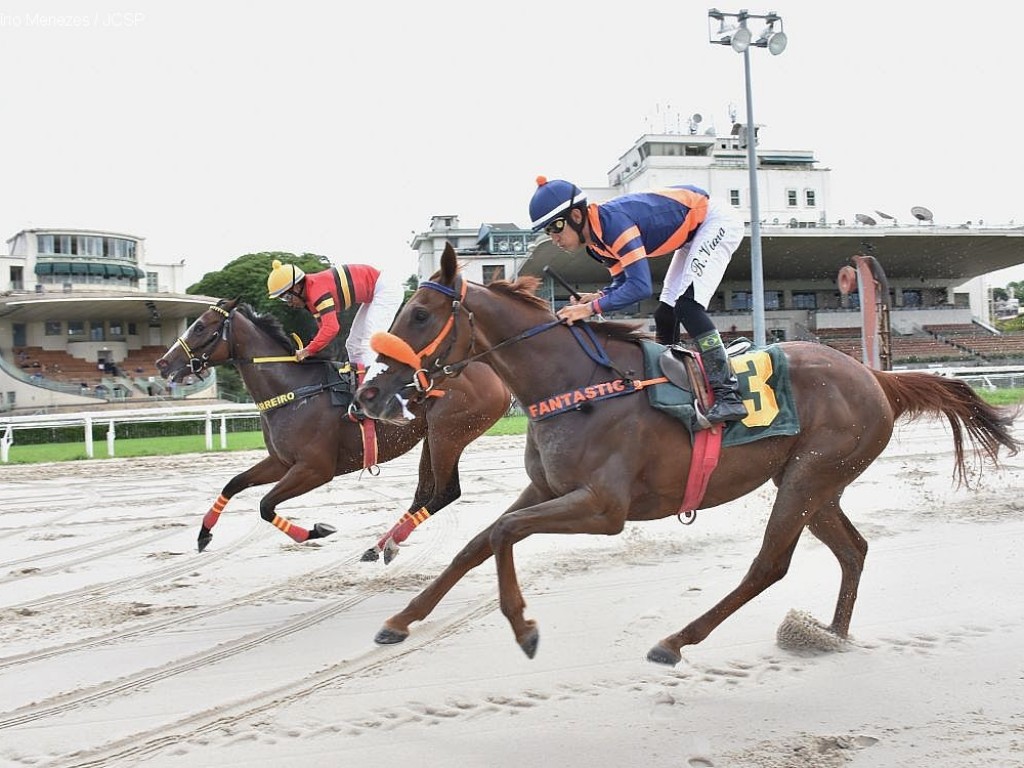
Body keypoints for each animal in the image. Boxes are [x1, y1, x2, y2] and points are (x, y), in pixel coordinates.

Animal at [152, 299, 512, 561]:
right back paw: (381, 546)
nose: (163, 363)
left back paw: (387, 543)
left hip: (447, 434)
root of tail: (489, 369)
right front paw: (203, 534)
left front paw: (316, 530)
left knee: (446, 492)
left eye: (200, 326)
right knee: (425, 493)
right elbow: (234, 484)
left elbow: (265, 506)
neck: (296, 391)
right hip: (432, 437)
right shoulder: (282, 462)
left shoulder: (315, 469)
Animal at [356, 244, 1019, 667]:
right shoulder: (547, 488)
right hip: (815, 483)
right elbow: (478, 541)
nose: (368, 394)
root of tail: (875, 376)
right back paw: (830, 633)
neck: (576, 385)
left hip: (808, 478)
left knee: (768, 566)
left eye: (420, 314)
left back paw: (676, 641)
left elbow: (503, 533)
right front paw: (399, 620)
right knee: (852, 550)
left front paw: (523, 628)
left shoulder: (605, 508)